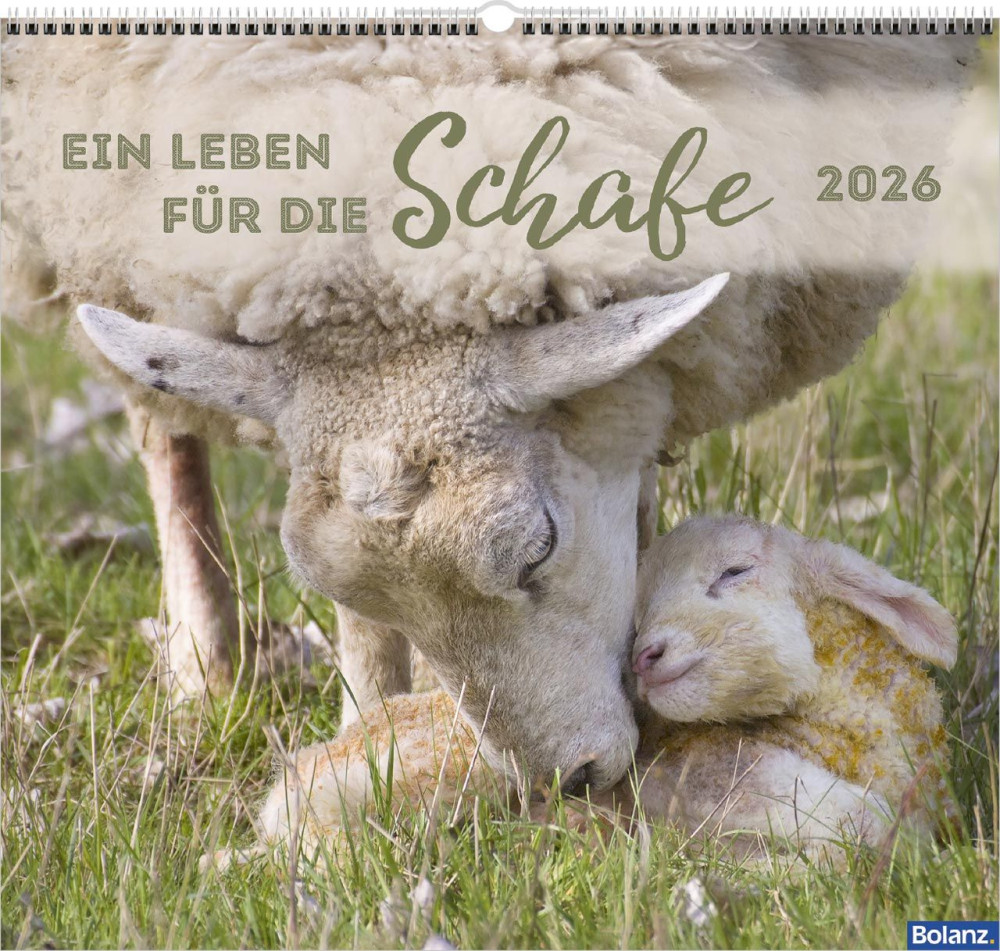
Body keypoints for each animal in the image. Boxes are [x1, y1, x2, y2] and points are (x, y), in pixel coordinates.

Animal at [1, 29, 975, 788]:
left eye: (538, 547)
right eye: (338, 589)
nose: (570, 783)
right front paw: (370, 725)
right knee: (161, 428)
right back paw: (208, 671)